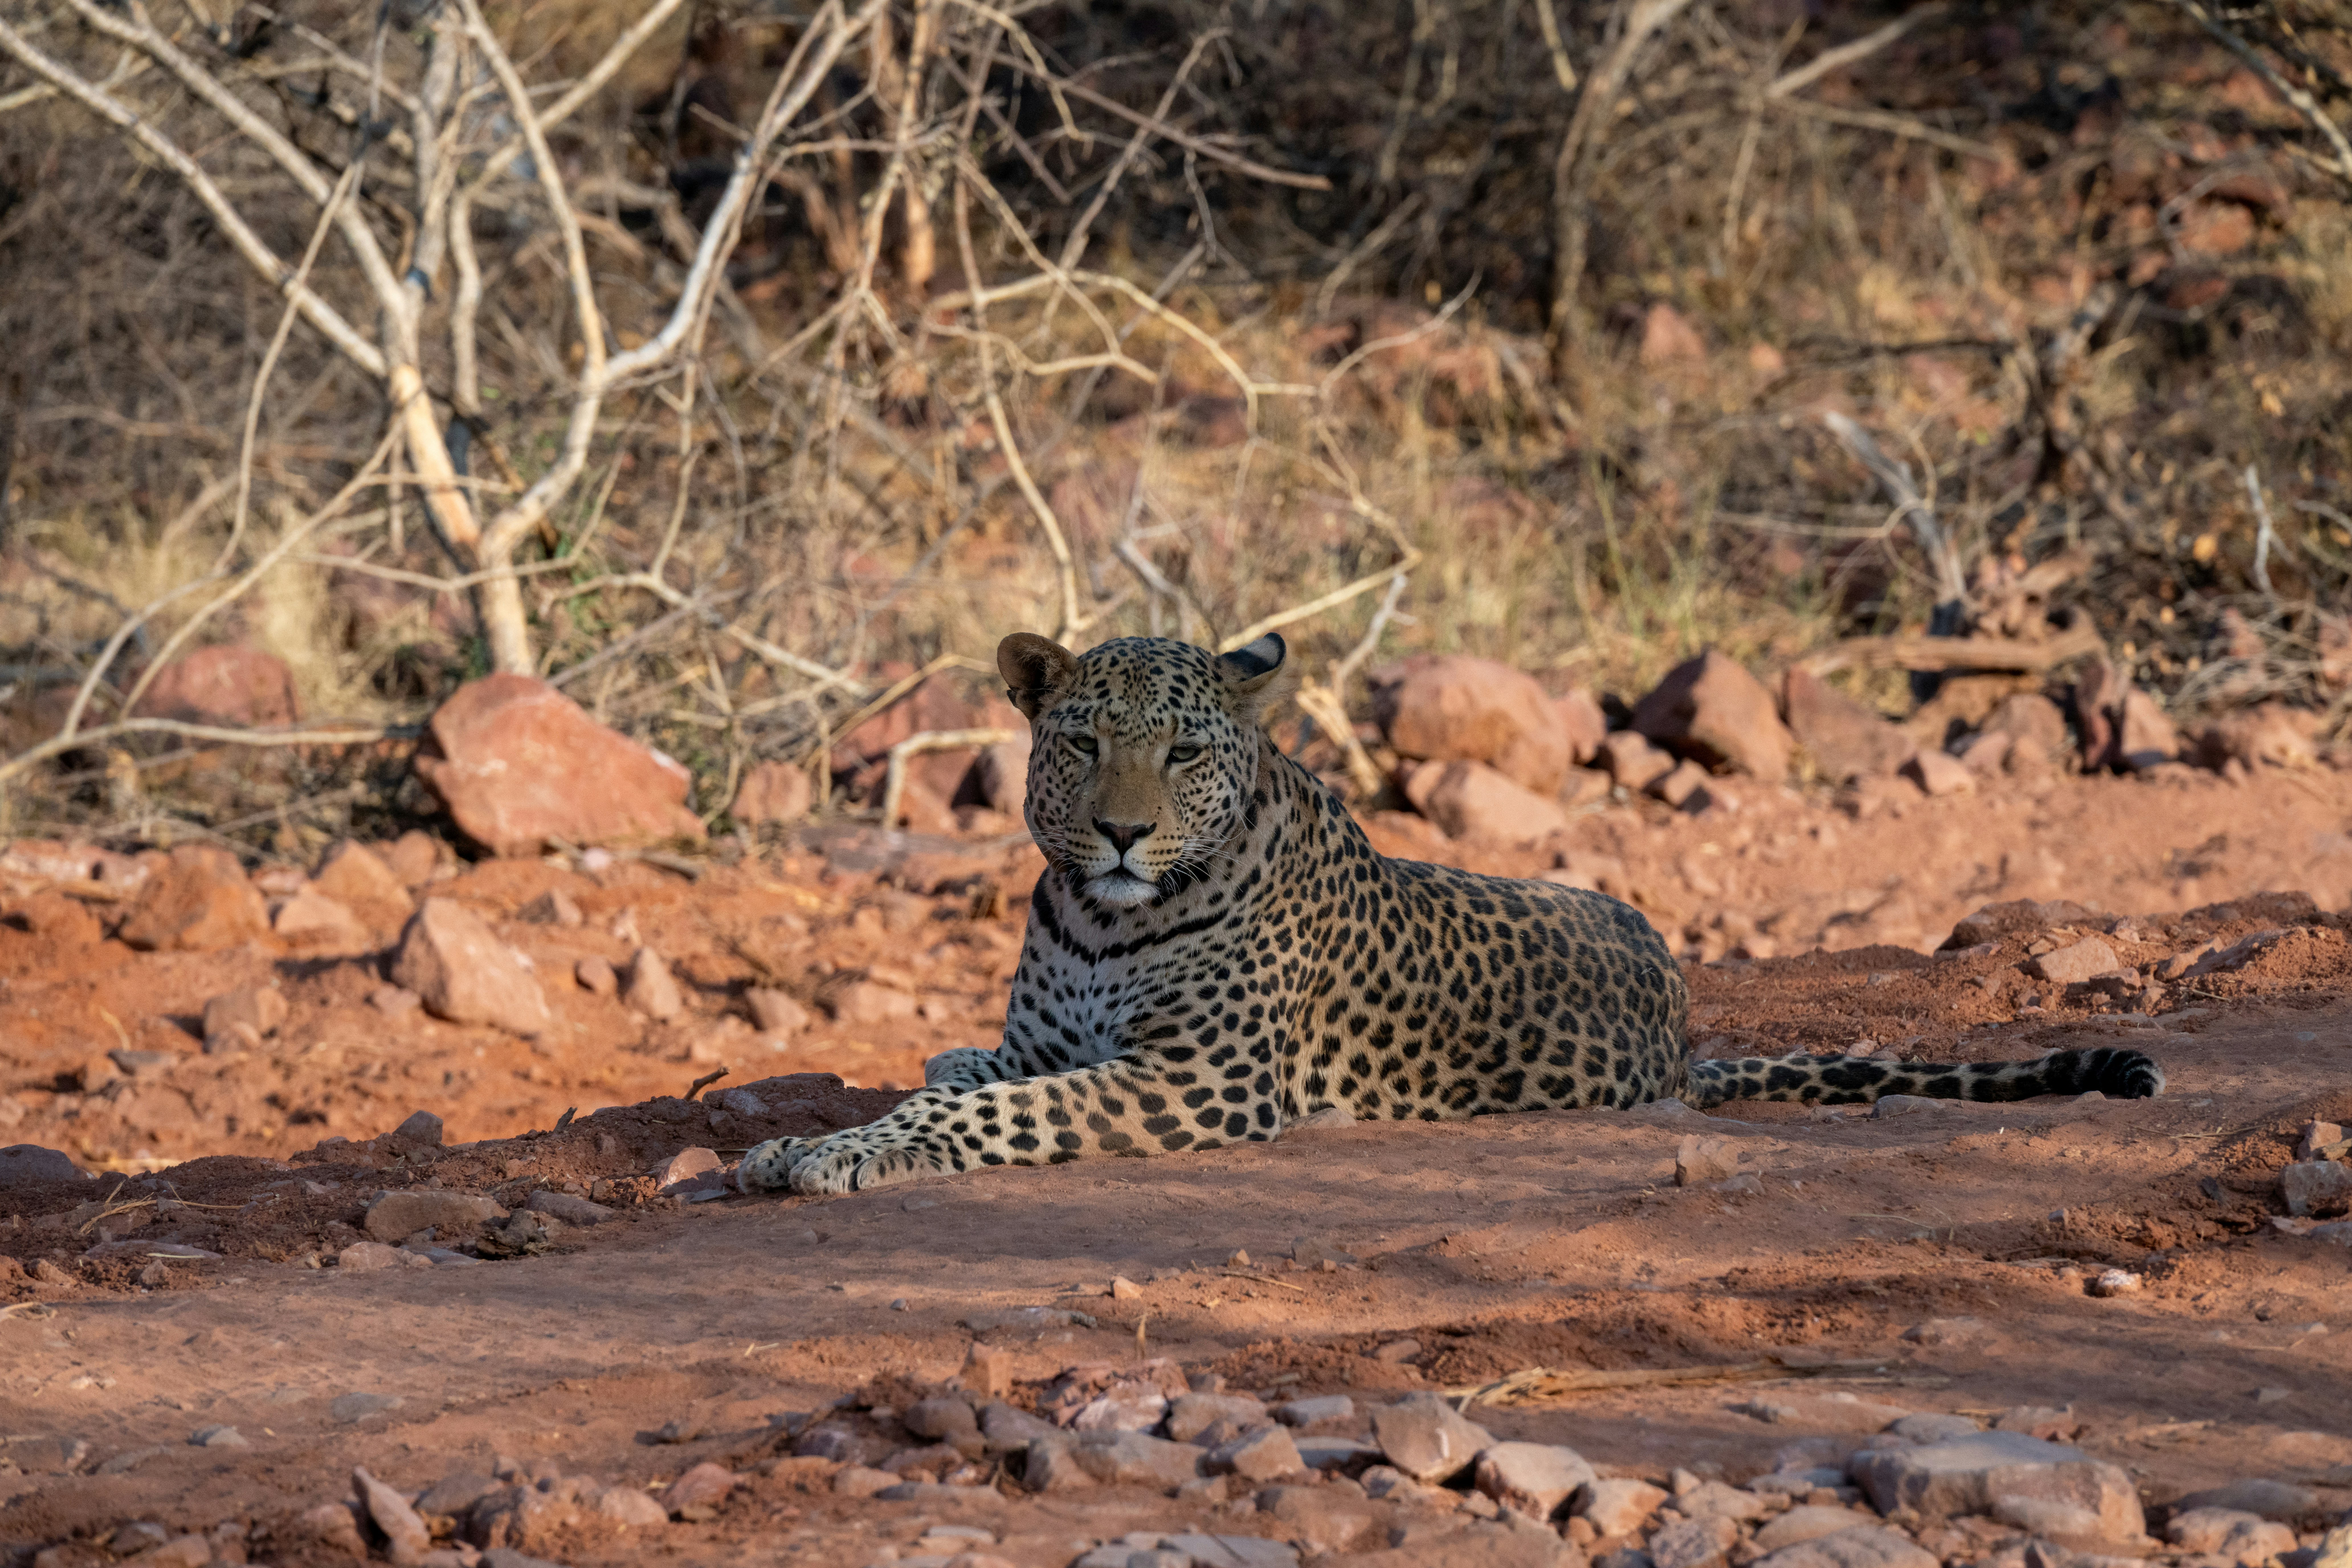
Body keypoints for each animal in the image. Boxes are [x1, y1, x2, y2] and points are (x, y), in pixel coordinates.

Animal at [738, 631, 2163, 1196]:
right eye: (1083, 742)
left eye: (1184, 754)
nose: (1124, 831)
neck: (1100, 914)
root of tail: (1685, 1031)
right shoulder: (1054, 1040)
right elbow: (972, 1077)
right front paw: (793, 1141)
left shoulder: (1198, 1078)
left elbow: (992, 1113)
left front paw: (839, 1154)